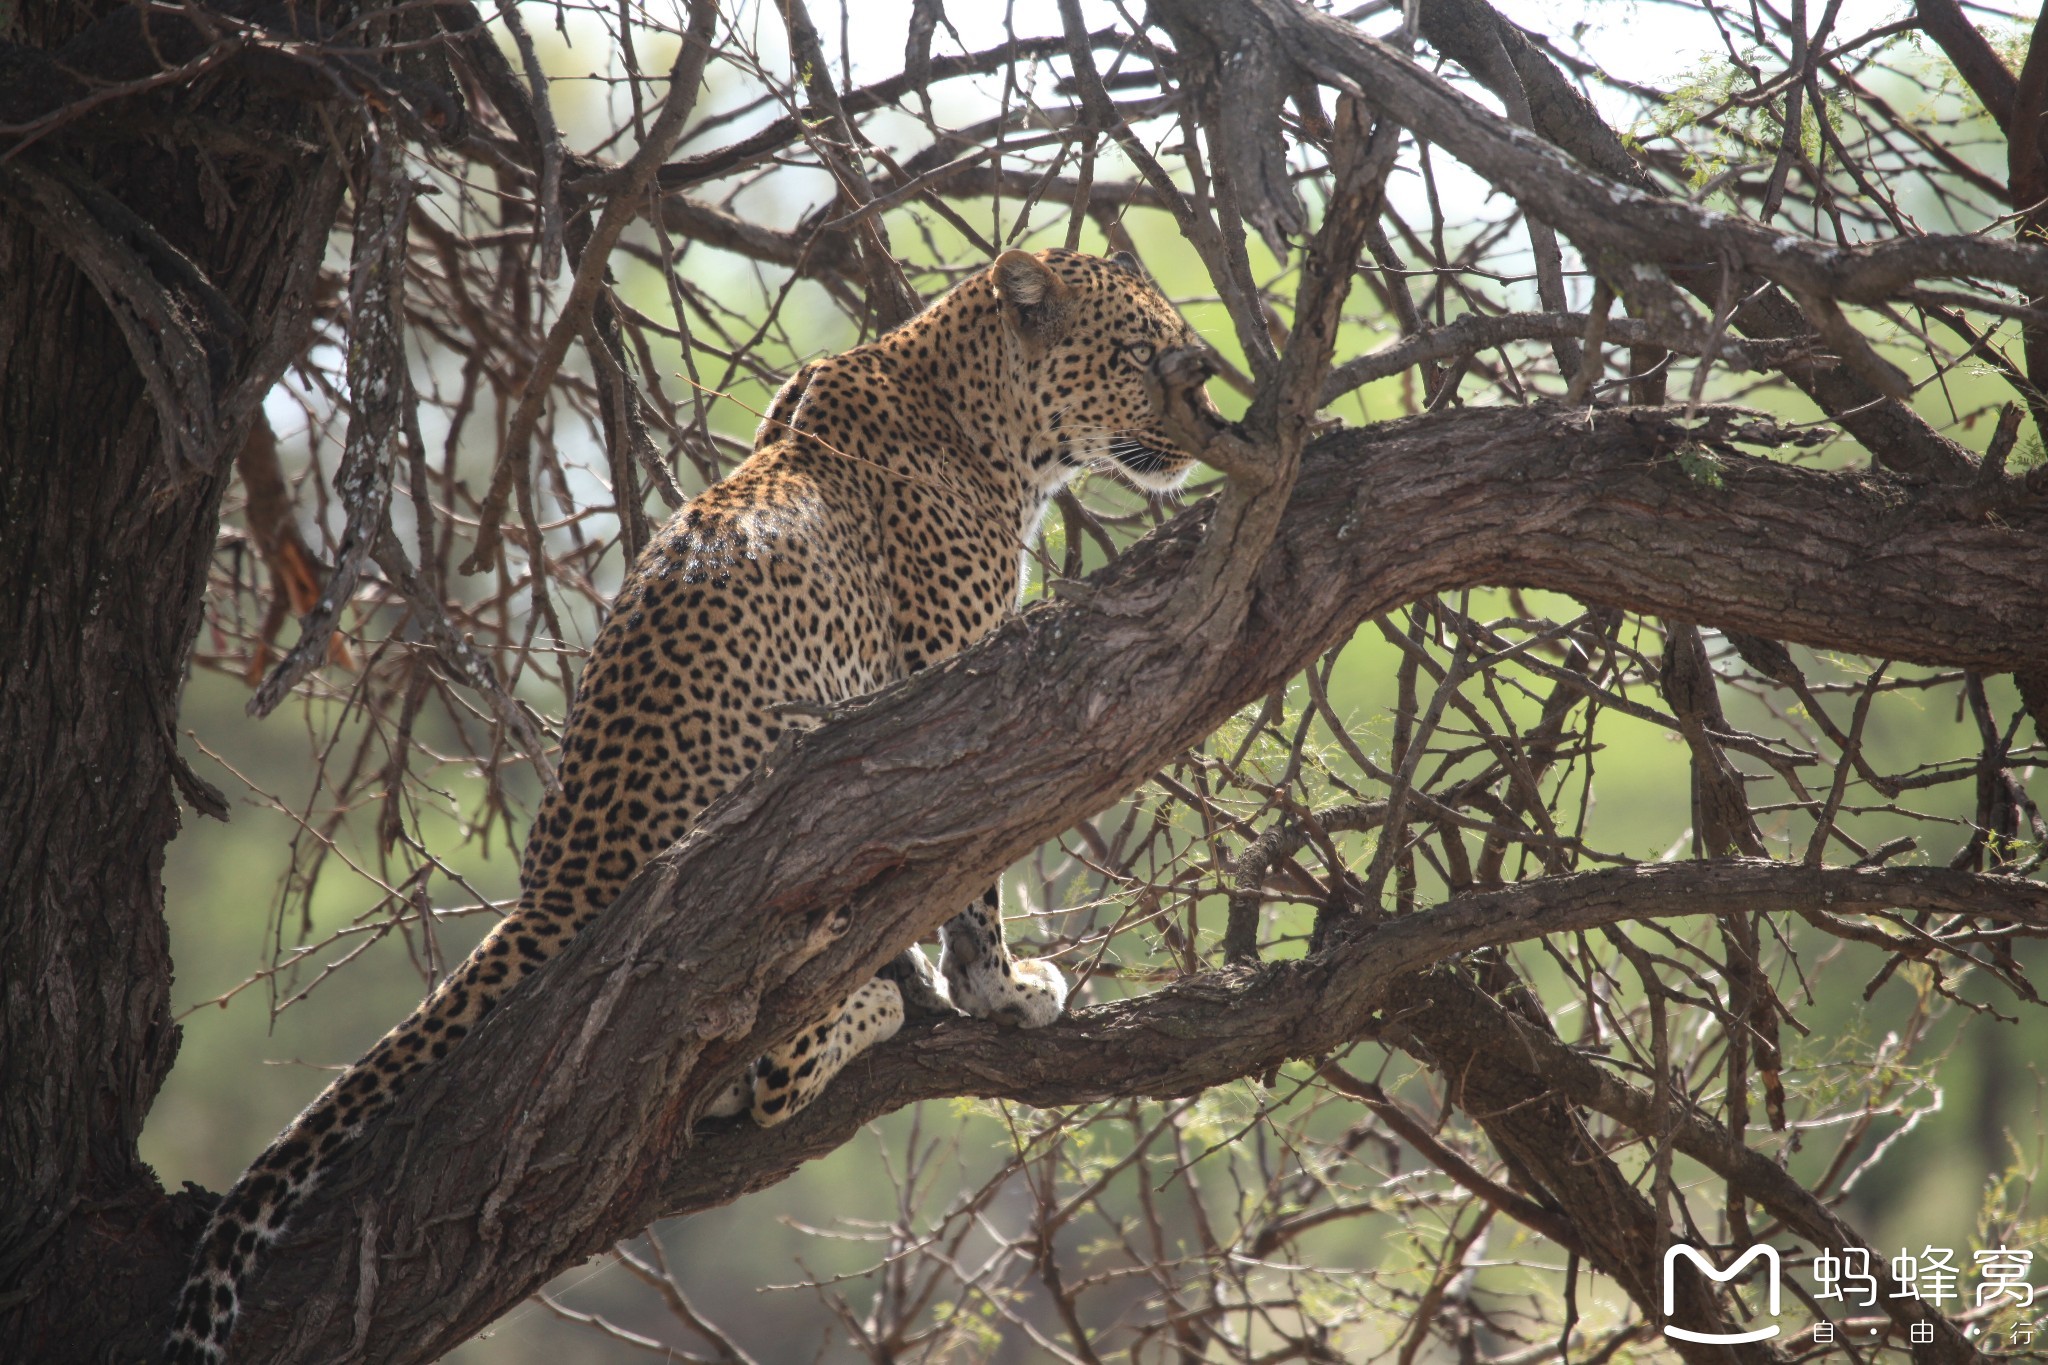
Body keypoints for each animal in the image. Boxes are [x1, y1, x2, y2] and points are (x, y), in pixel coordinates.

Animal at [167, 250, 1220, 1358]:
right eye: (1137, 352)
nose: (1203, 397)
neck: (980, 417)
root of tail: (557, 890)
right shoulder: (957, 675)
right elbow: (977, 884)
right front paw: (999, 989)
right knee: (775, 1071)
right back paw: (880, 1000)